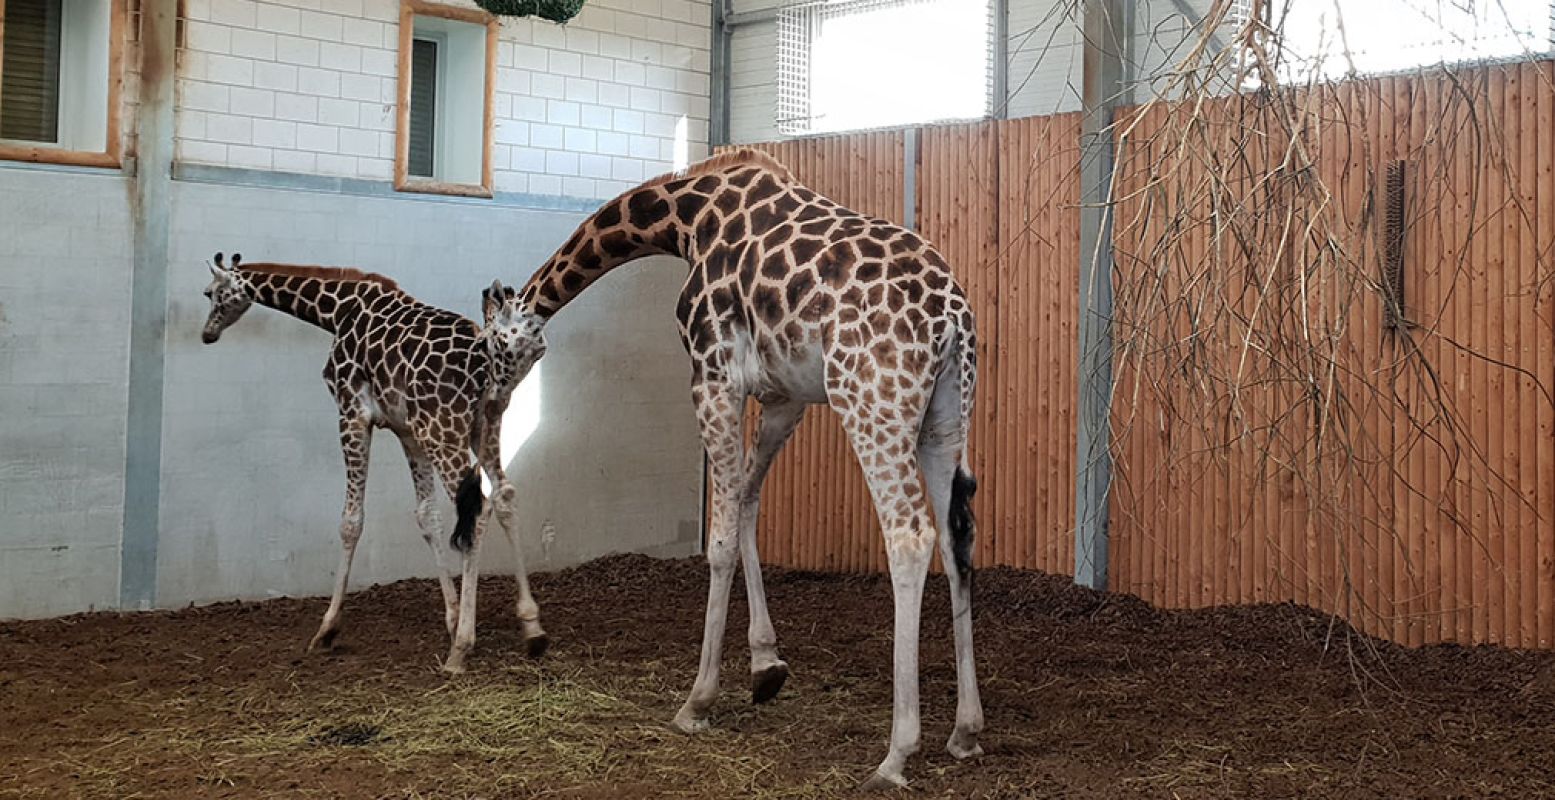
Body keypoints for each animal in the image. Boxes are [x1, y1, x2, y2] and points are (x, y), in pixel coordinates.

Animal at [200, 252, 550, 669]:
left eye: (209, 293)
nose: (207, 334)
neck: (336, 310)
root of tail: (486, 367)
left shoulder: (352, 412)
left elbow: (351, 520)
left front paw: (327, 628)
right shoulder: (406, 430)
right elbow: (427, 516)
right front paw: (451, 617)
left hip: (443, 430)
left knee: (478, 508)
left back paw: (462, 649)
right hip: (485, 426)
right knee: (504, 495)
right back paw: (532, 628)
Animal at [482, 149, 982, 784]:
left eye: (499, 345)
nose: (492, 400)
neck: (684, 220)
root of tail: (953, 317)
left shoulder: (712, 374)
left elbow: (718, 539)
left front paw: (698, 700)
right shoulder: (783, 396)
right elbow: (746, 501)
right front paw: (766, 666)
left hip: (871, 401)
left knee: (910, 535)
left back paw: (897, 752)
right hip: (946, 416)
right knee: (956, 535)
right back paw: (966, 730)